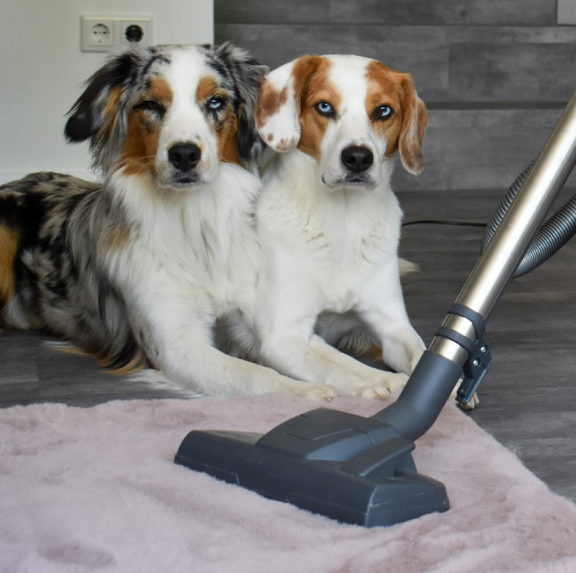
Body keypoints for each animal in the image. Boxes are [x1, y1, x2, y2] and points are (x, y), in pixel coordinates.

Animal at [0, 43, 338, 398]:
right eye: (150, 104)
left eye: (215, 101)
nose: (185, 155)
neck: (195, 222)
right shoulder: (176, 344)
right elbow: (257, 376)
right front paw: (308, 393)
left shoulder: (256, 318)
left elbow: (330, 359)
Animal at [253, 54, 428, 398]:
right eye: (324, 107)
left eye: (383, 110)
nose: (358, 158)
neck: (344, 221)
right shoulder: (285, 335)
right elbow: (342, 364)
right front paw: (382, 382)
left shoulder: (392, 323)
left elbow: (422, 352)